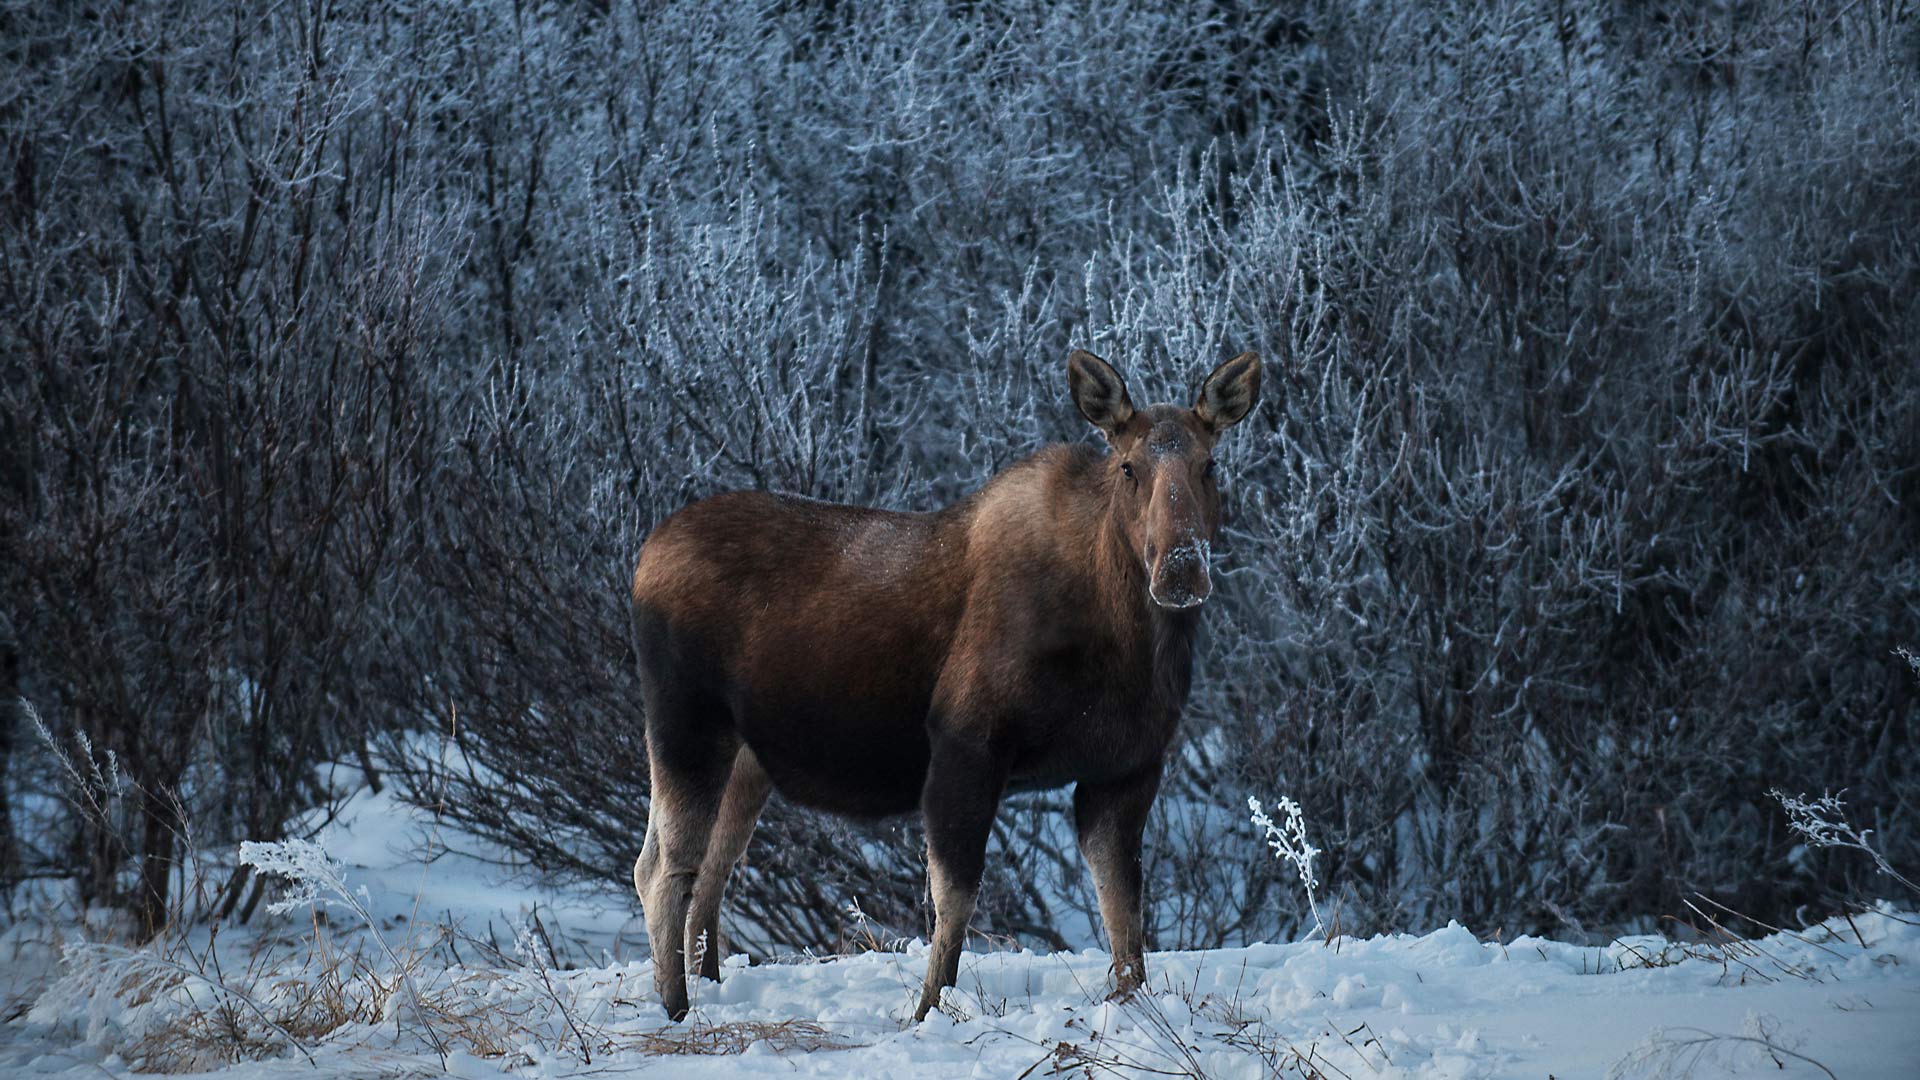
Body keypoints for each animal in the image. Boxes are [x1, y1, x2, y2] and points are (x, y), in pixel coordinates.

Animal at [628, 349, 1261, 1021]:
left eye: (1210, 464)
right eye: (1128, 467)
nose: (1181, 568)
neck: (1128, 643)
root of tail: (643, 560)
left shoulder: (1125, 769)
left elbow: (1125, 916)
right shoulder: (967, 745)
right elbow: (954, 902)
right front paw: (927, 1010)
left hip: (745, 760)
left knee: (706, 866)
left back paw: (708, 985)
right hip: (685, 725)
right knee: (664, 868)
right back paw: (675, 1009)